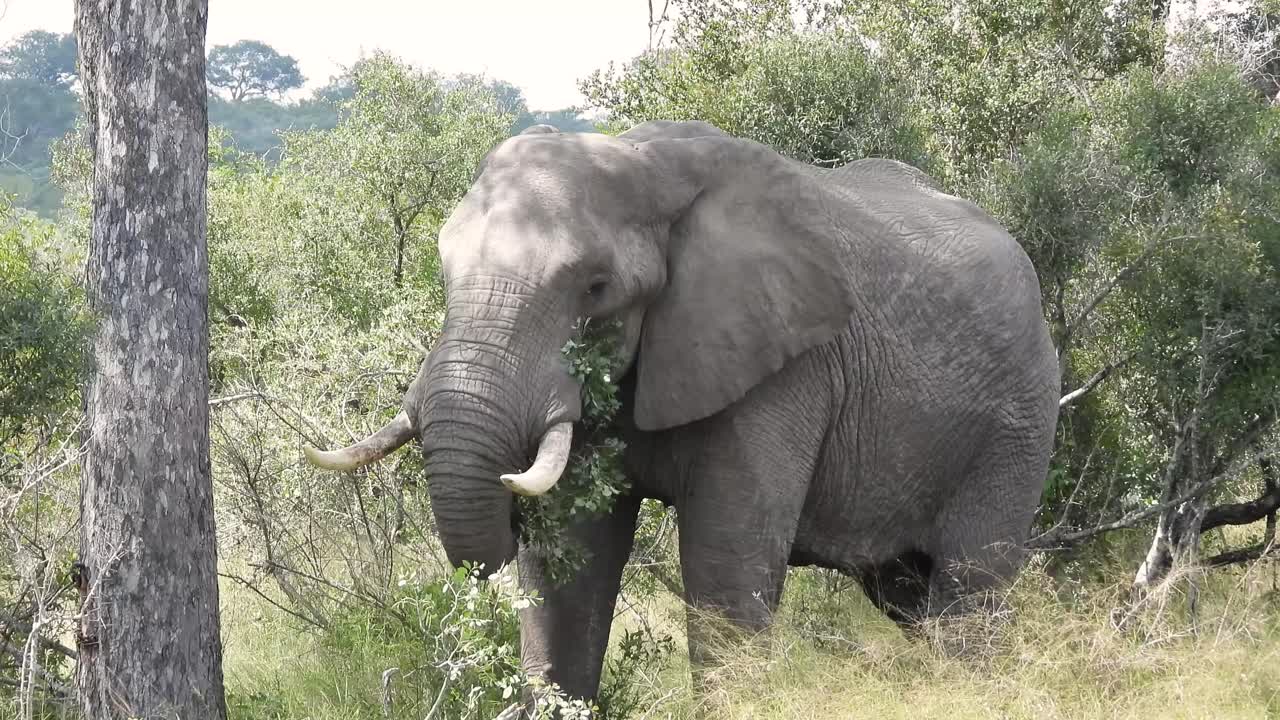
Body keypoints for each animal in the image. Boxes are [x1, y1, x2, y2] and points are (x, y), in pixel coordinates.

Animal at [304, 119, 1060, 702]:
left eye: (595, 287)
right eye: (444, 271)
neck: (638, 159)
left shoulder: (780, 367)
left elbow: (727, 569)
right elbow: (569, 570)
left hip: (1019, 423)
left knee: (968, 592)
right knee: (910, 597)